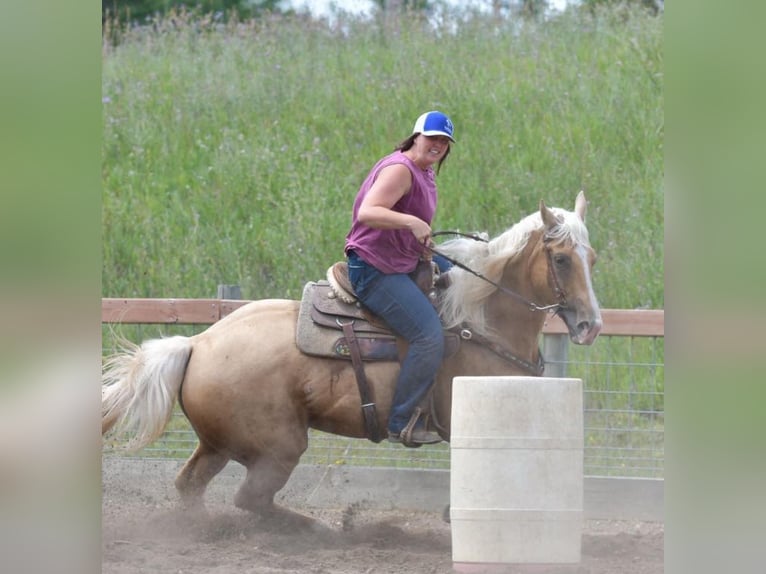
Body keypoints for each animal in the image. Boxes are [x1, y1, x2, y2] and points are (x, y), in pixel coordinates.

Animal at [103, 192, 608, 528]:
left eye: (593, 258)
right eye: (561, 259)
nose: (590, 325)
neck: (480, 318)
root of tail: (198, 343)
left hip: (219, 444)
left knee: (192, 488)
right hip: (279, 445)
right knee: (251, 499)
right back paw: (320, 528)